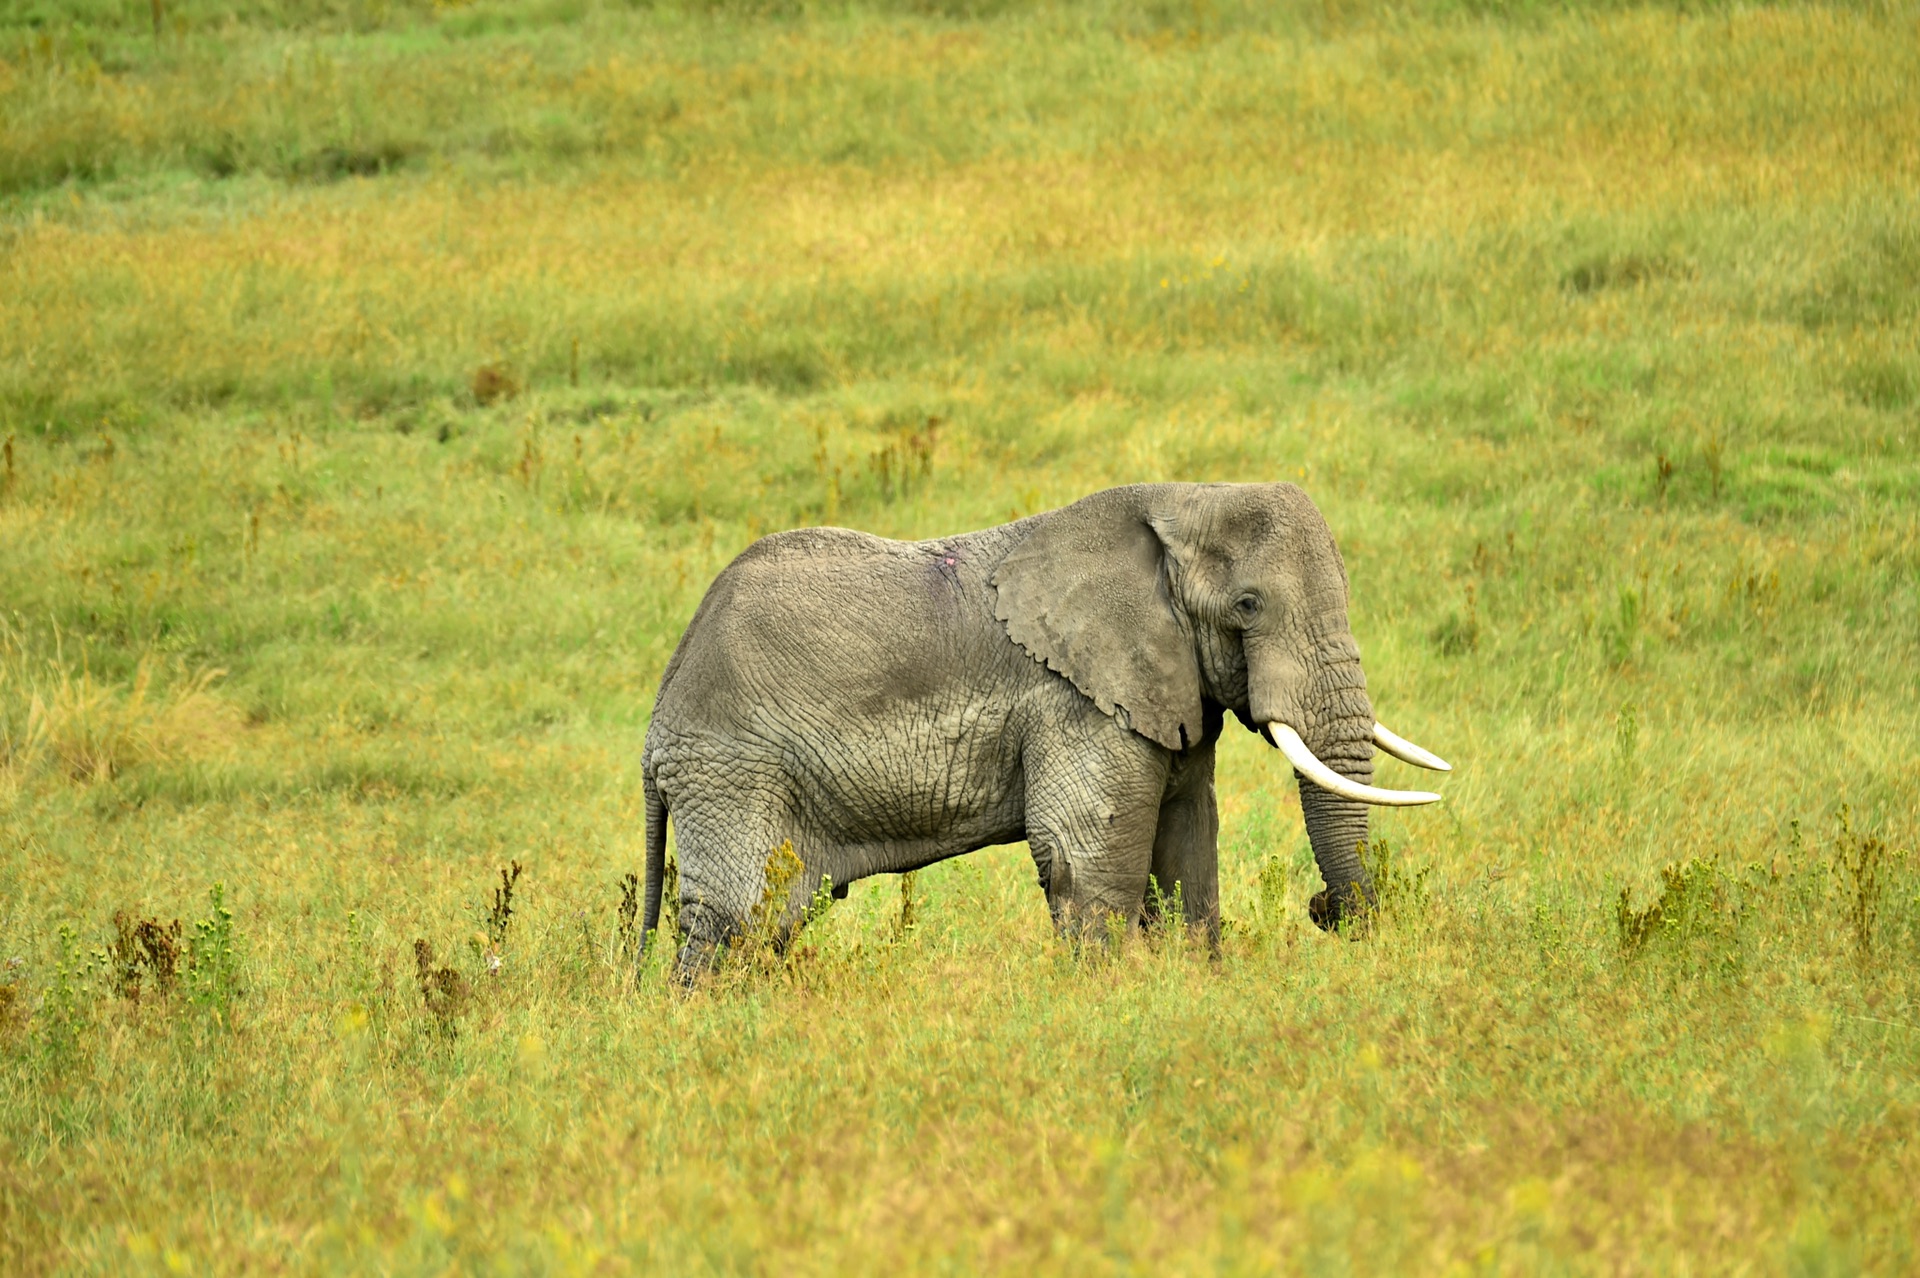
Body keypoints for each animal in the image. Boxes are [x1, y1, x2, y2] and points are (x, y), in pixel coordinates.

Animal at [637, 479, 1443, 974]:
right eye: (1248, 606)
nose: (1325, 910)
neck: (1179, 499)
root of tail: (656, 723)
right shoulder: (1076, 702)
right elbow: (1088, 866)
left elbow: (1188, 849)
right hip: (731, 771)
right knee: (734, 919)